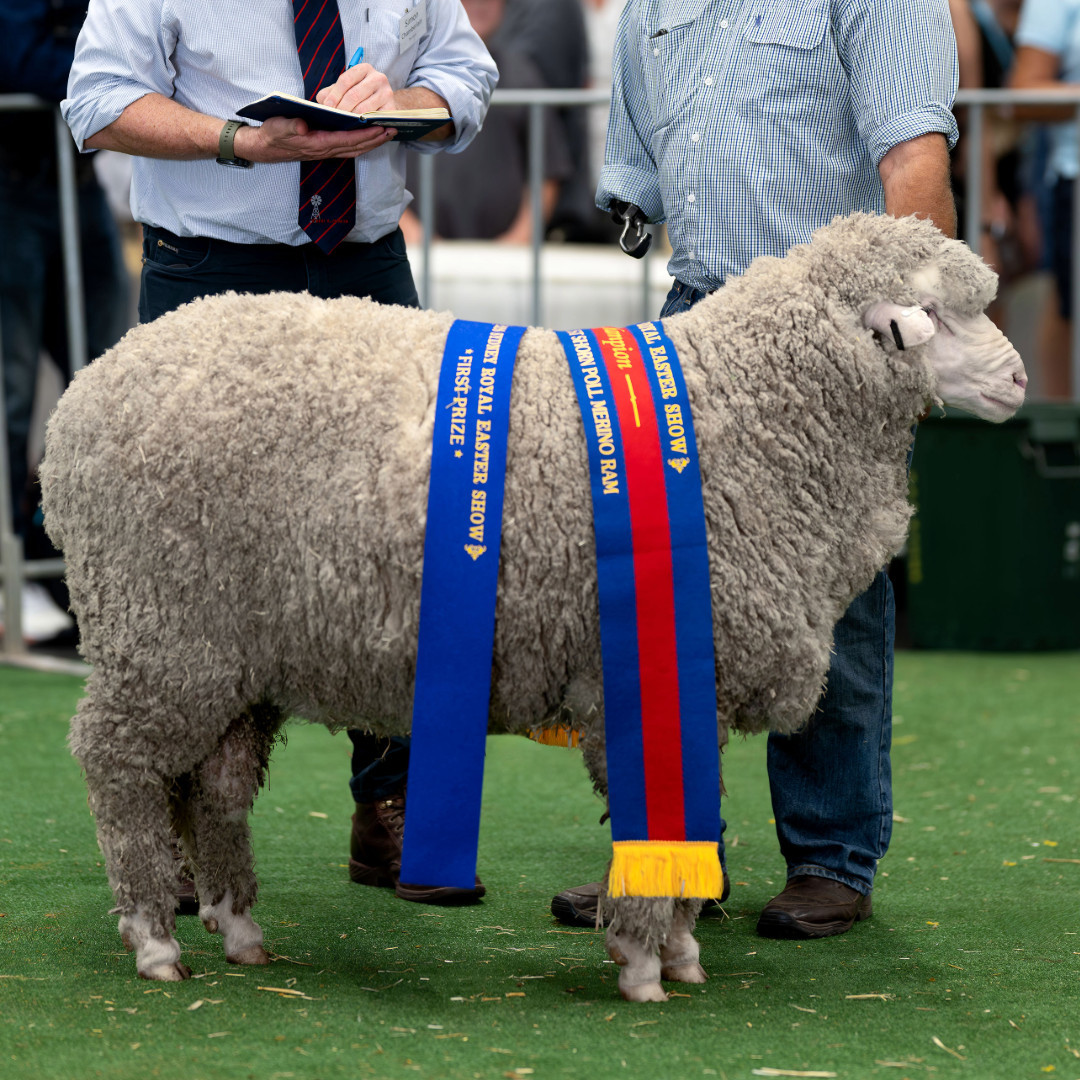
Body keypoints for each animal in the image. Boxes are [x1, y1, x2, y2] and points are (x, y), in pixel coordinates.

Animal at [40, 212, 1026, 999]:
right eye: (939, 313)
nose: (1019, 381)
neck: (738, 418)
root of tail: (91, 385)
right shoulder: (653, 679)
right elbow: (662, 822)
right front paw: (644, 966)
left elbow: (691, 820)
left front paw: (677, 952)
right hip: (160, 627)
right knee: (117, 766)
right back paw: (154, 939)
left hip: (234, 655)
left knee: (215, 785)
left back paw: (239, 928)